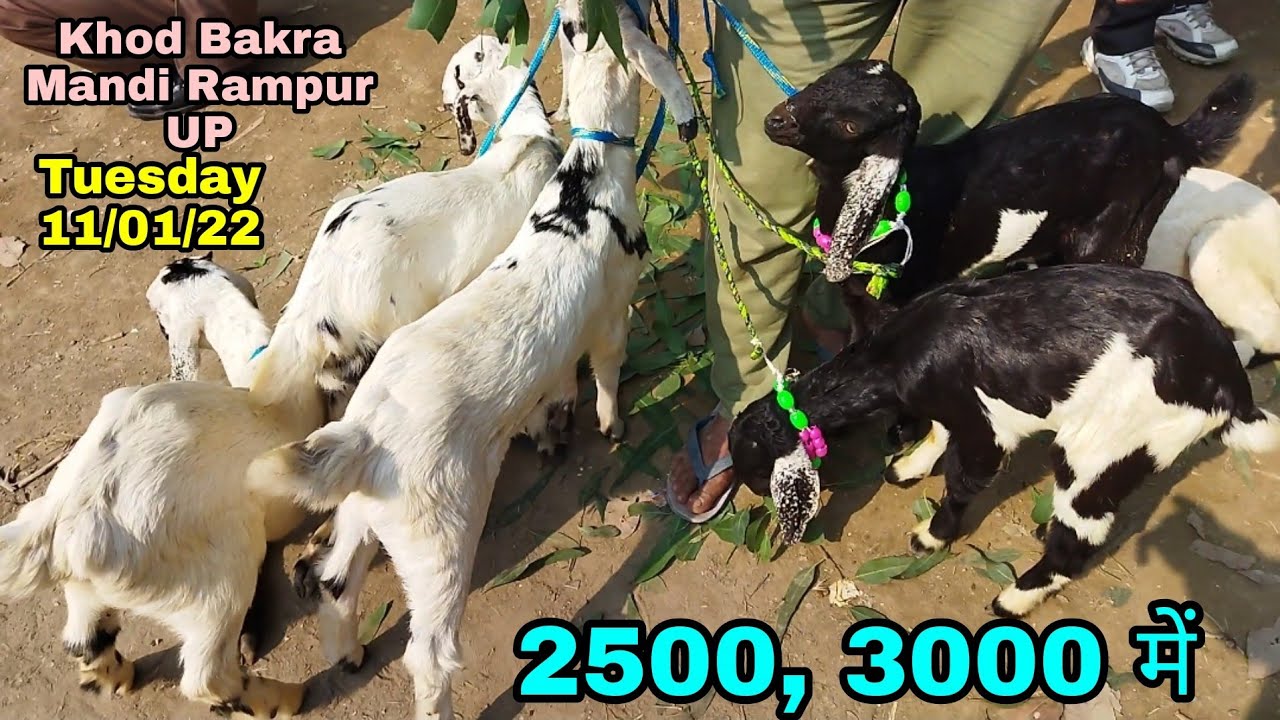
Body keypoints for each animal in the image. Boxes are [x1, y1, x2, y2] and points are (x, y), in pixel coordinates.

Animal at [0, 255, 324, 717]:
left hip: (86, 589)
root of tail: (64, 525)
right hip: (214, 584)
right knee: (207, 676)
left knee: (85, 643)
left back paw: (117, 679)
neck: (261, 382)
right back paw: (281, 698)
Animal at [247, 3, 696, 717]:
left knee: (336, 581)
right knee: (428, 654)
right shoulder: (612, 312)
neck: (582, 181)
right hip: (439, 544)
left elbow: (556, 385)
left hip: (362, 513)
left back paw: (347, 652)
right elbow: (605, 372)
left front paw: (553, 429)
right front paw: (606, 426)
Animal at [728, 264, 1279, 618]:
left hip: (1104, 445)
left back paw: (1014, 598)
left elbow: (964, 479)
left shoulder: (987, 428)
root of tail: (1231, 383)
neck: (898, 352)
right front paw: (907, 467)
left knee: (1080, 533)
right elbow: (939, 430)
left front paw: (932, 535)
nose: (750, 494)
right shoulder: (954, 409)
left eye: (754, 472)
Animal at [764, 58, 1255, 341]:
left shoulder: (893, 305)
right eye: (823, 80)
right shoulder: (856, 301)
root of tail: (1172, 136)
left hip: (1116, 229)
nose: (775, 121)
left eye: (851, 126)